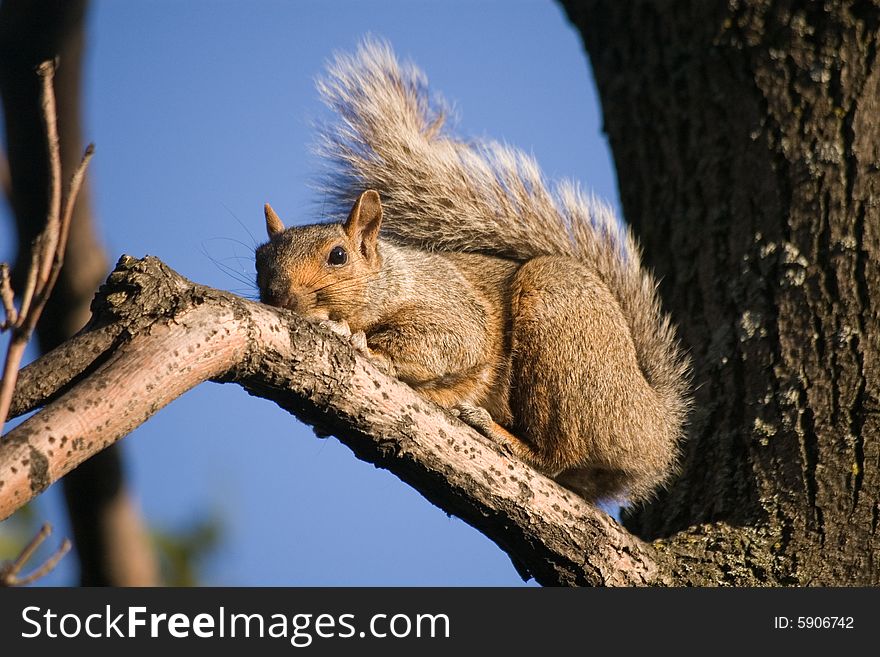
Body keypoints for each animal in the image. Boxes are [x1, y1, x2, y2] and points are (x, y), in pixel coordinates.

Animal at [253, 39, 688, 502]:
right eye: (259, 259)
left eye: (338, 256)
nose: (279, 295)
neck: (395, 279)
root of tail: (655, 432)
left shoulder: (450, 304)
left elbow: (453, 340)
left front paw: (364, 344)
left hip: (562, 339)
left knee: (559, 455)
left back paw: (500, 434)